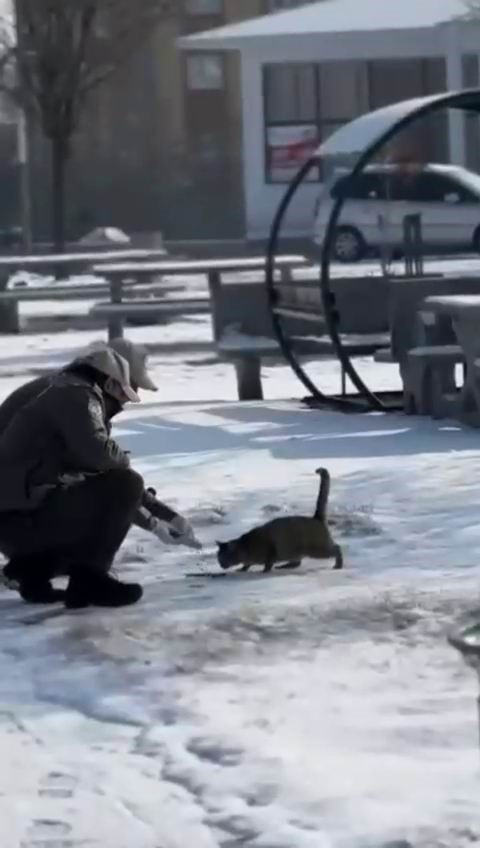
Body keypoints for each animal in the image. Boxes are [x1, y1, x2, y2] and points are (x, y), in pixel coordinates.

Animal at [216, 468, 344, 572]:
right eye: (218, 558)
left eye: (223, 557)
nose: (221, 565)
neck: (245, 546)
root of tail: (316, 517)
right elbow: (247, 565)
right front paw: (243, 568)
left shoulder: (270, 551)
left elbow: (268, 563)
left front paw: (264, 570)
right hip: (296, 551)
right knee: (296, 562)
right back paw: (284, 566)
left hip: (317, 549)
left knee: (337, 548)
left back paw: (338, 565)